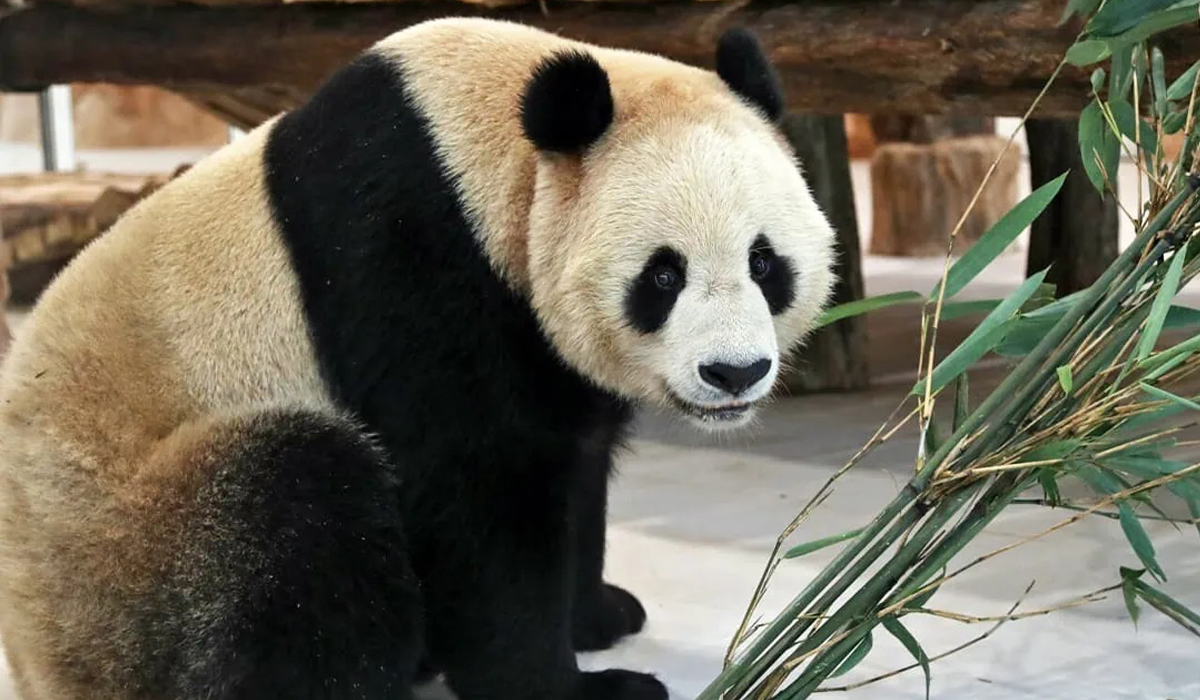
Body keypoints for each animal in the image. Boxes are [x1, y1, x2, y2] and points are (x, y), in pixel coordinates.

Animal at [0, 16, 836, 700]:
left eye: (765, 263)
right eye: (663, 276)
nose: (734, 373)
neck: (486, 156)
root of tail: (33, 656)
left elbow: (574, 456)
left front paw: (598, 615)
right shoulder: (409, 256)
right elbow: (477, 488)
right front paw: (576, 687)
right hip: (133, 550)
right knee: (292, 515)